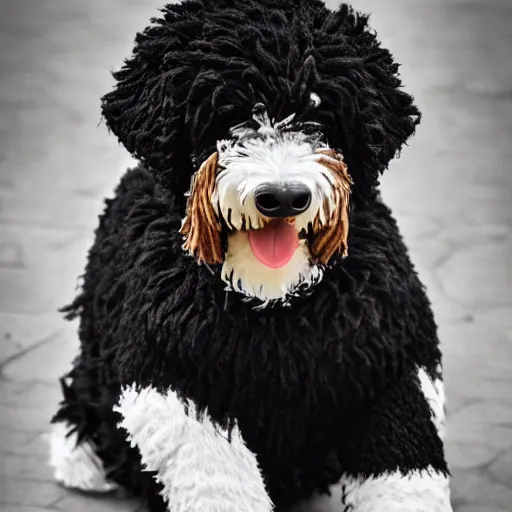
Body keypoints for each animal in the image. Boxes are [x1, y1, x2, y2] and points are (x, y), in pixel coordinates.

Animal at [50, 1, 454, 512]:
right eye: (229, 114)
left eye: (319, 115)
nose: (282, 198)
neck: (273, 302)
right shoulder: (171, 374)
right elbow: (218, 479)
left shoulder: (390, 352)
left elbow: (405, 469)